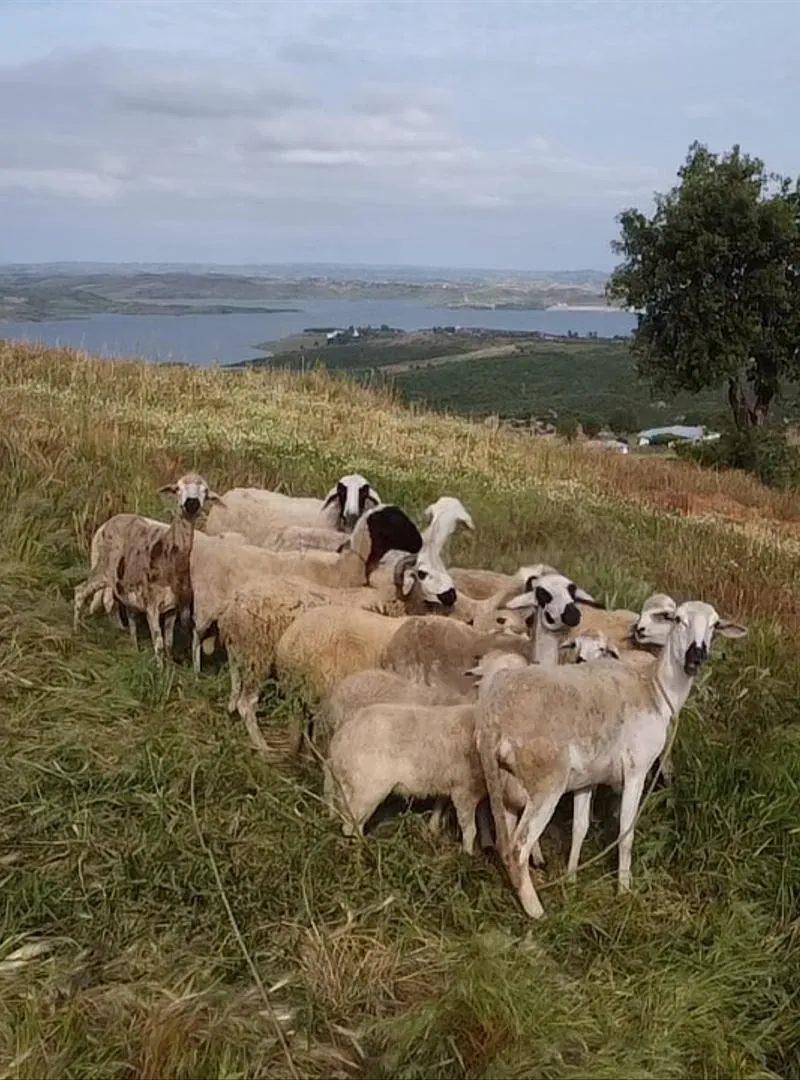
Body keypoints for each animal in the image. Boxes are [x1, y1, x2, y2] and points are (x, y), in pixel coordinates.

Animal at [73, 474, 223, 668]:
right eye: (177, 489)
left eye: (205, 490)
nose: (192, 503)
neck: (169, 555)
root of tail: (105, 525)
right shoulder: (152, 606)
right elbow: (159, 645)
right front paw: (159, 671)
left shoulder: (172, 608)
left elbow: (168, 643)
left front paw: (169, 668)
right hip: (103, 569)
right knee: (80, 591)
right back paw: (76, 631)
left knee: (111, 602)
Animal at [323, 652, 530, 854]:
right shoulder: (464, 789)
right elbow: (470, 828)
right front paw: (468, 855)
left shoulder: (452, 780)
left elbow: (448, 804)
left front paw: (434, 828)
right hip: (368, 787)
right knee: (350, 820)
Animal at [475, 600, 747, 919]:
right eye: (678, 619)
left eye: (715, 625)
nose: (697, 654)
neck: (654, 688)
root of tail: (493, 720)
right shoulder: (636, 770)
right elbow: (626, 833)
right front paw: (624, 890)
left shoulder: (587, 777)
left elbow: (580, 827)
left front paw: (571, 879)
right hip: (546, 781)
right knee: (518, 847)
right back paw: (536, 911)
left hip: (508, 779)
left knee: (506, 834)